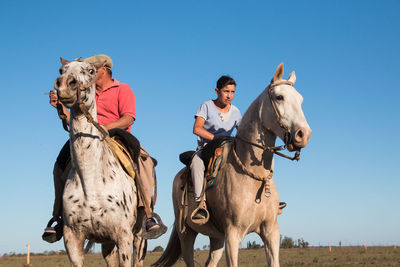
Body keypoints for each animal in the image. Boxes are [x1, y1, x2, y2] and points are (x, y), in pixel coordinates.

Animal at [54, 58, 145, 267]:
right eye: (62, 70)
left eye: (90, 70)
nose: (65, 85)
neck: (91, 180)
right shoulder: (72, 239)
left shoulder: (124, 236)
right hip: (107, 241)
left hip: (138, 236)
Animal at [153, 63, 312, 267]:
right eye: (279, 97)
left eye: (300, 99)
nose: (304, 134)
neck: (254, 177)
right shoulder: (233, 234)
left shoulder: (271, 232)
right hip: (187, 233)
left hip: (216, 237)